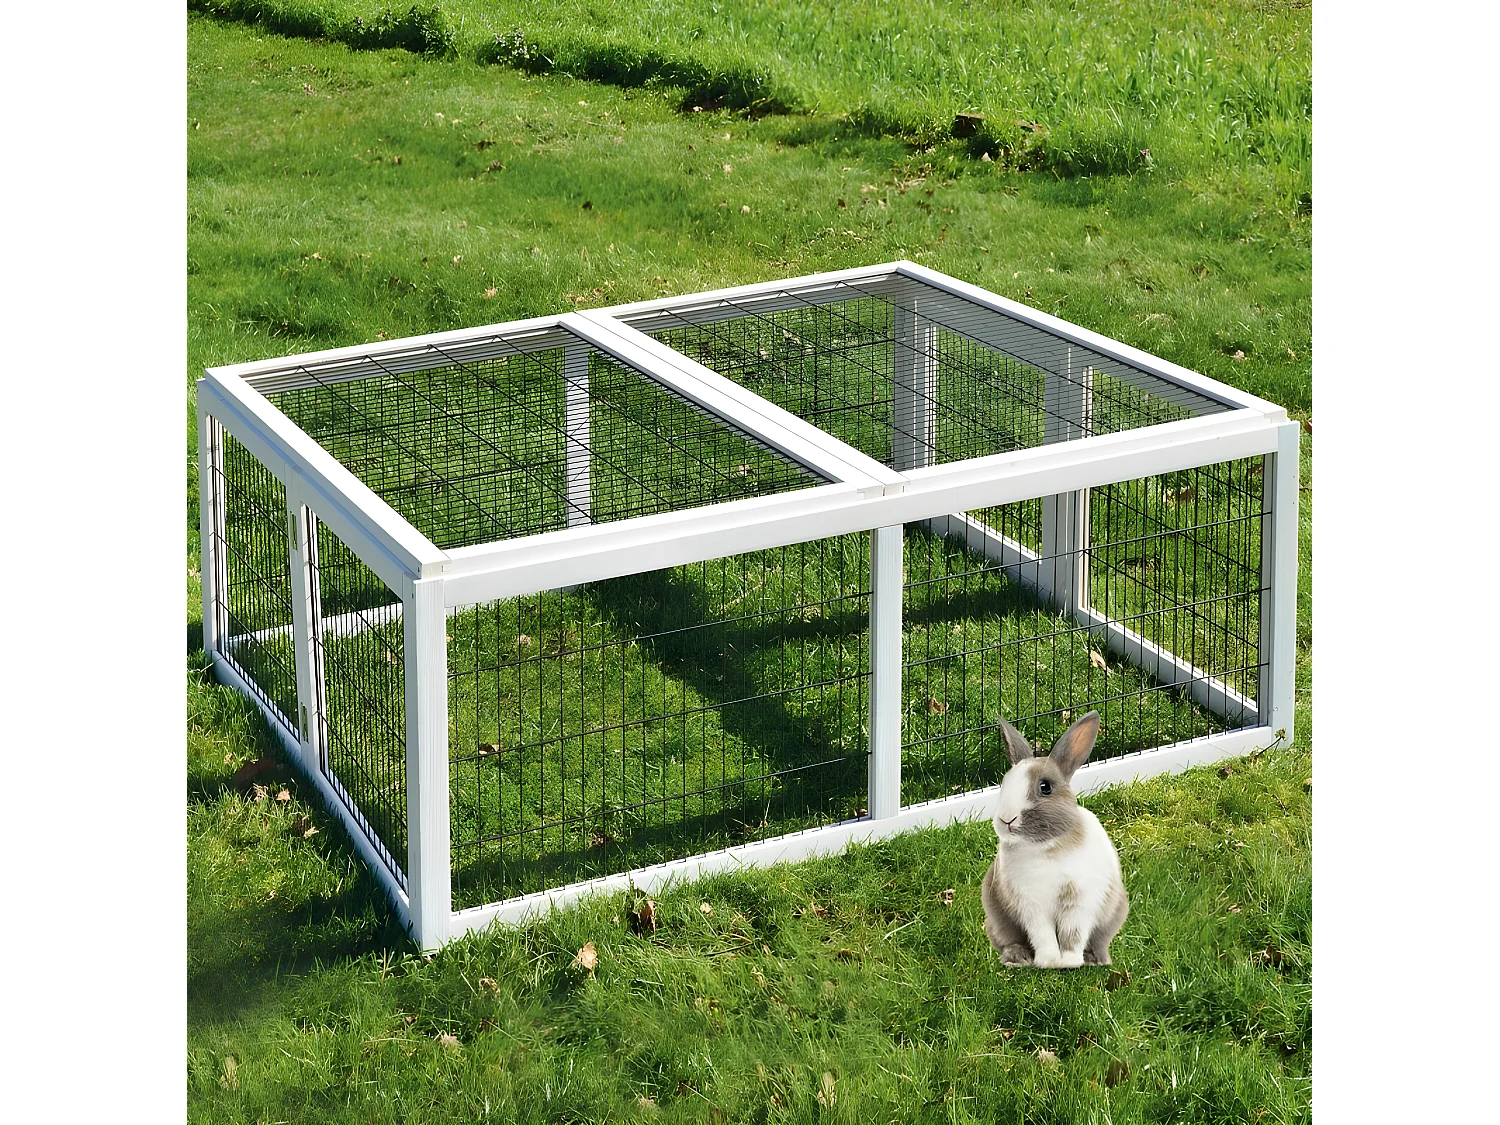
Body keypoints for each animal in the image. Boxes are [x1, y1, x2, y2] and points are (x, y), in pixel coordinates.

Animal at [980, 711, 1129, 969]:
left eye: (1045, 787)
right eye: (1004, 783)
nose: (1006, 819)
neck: (1047, 846)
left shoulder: (1079, 901)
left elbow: (1073, 933)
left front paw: (1069, 962)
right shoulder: (1032, 905)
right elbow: (1043, 934)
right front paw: (1049, 961)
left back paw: (1096, 959)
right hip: (996, 919)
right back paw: (1017, 958)